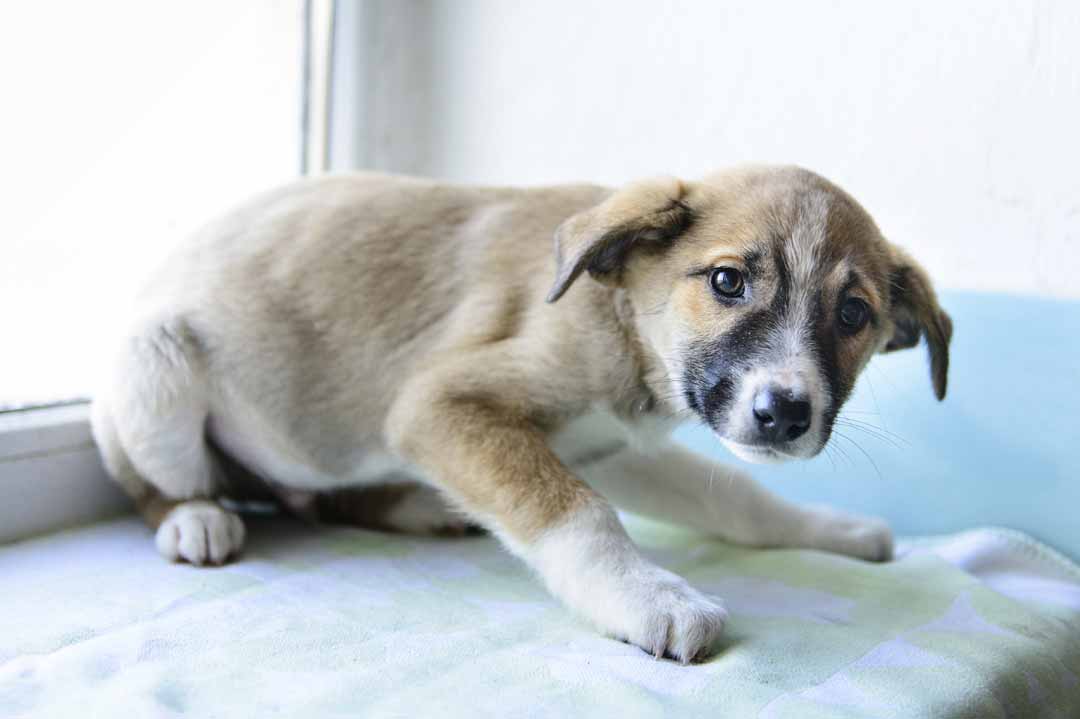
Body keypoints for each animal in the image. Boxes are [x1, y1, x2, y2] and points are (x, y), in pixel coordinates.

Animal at [95, 165, 954, 656]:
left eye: (853, 315)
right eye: (727, 282)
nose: (784, 412)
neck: (620, 310)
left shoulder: (611, 443)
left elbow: (738, 496)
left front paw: (831, 528)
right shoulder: (436, 404)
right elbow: (580, 514)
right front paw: (651, 597)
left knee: (319, 498)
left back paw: (421, 505)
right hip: (153, 361)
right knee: (157, 484)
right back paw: (195, 518)